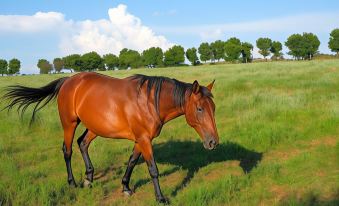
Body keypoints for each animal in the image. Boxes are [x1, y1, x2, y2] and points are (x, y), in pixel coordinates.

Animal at [2, 72, 219, 203]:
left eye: (213, 108)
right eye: (200, 109)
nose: (213, 142)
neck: (150, 101)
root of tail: (68, 81)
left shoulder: (141, 139)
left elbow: (132, 162)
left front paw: (125, 187)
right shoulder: (144, 139)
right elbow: (153, 170)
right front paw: (160, 198)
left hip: (94, 127)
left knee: (82, 143)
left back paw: (89, 178)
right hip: (69, 123)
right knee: (68, 150)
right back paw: (73, 183)